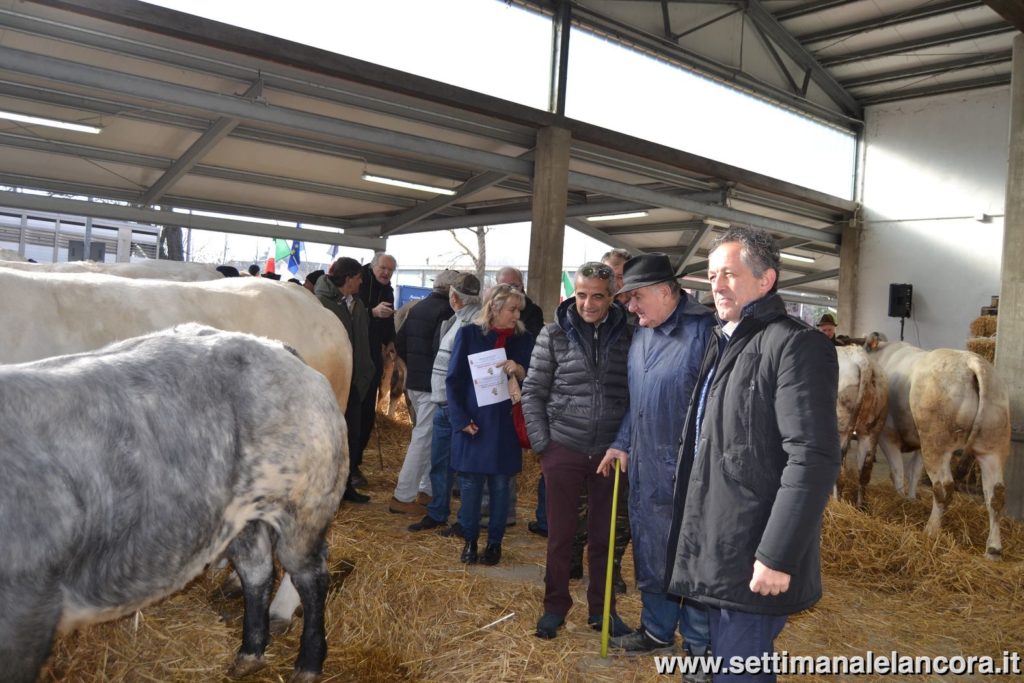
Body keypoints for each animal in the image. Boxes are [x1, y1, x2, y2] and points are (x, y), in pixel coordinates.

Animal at [0, 325, 348, 679]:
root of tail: (275, 346)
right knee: (258, 571)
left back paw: (308, 663)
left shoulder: (26, 616)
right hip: (241, 517)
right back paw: (250, 652)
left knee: (309, 576)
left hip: (303, 510)